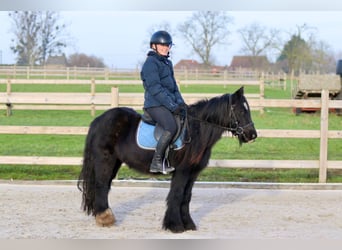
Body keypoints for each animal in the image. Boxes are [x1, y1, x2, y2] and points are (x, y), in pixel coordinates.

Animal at [77, 87, 256, 233]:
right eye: (241, 111)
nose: (252, 135)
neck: (196, 131)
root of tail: (98, 120)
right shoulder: (182, 171)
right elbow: (176, 195)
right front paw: (175, 226)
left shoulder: (193, 172)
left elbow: (186, 197)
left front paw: (188, 224)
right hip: (105, 160)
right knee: (101, 185)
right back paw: (105, 218)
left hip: (114, 162)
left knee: (105, 186)